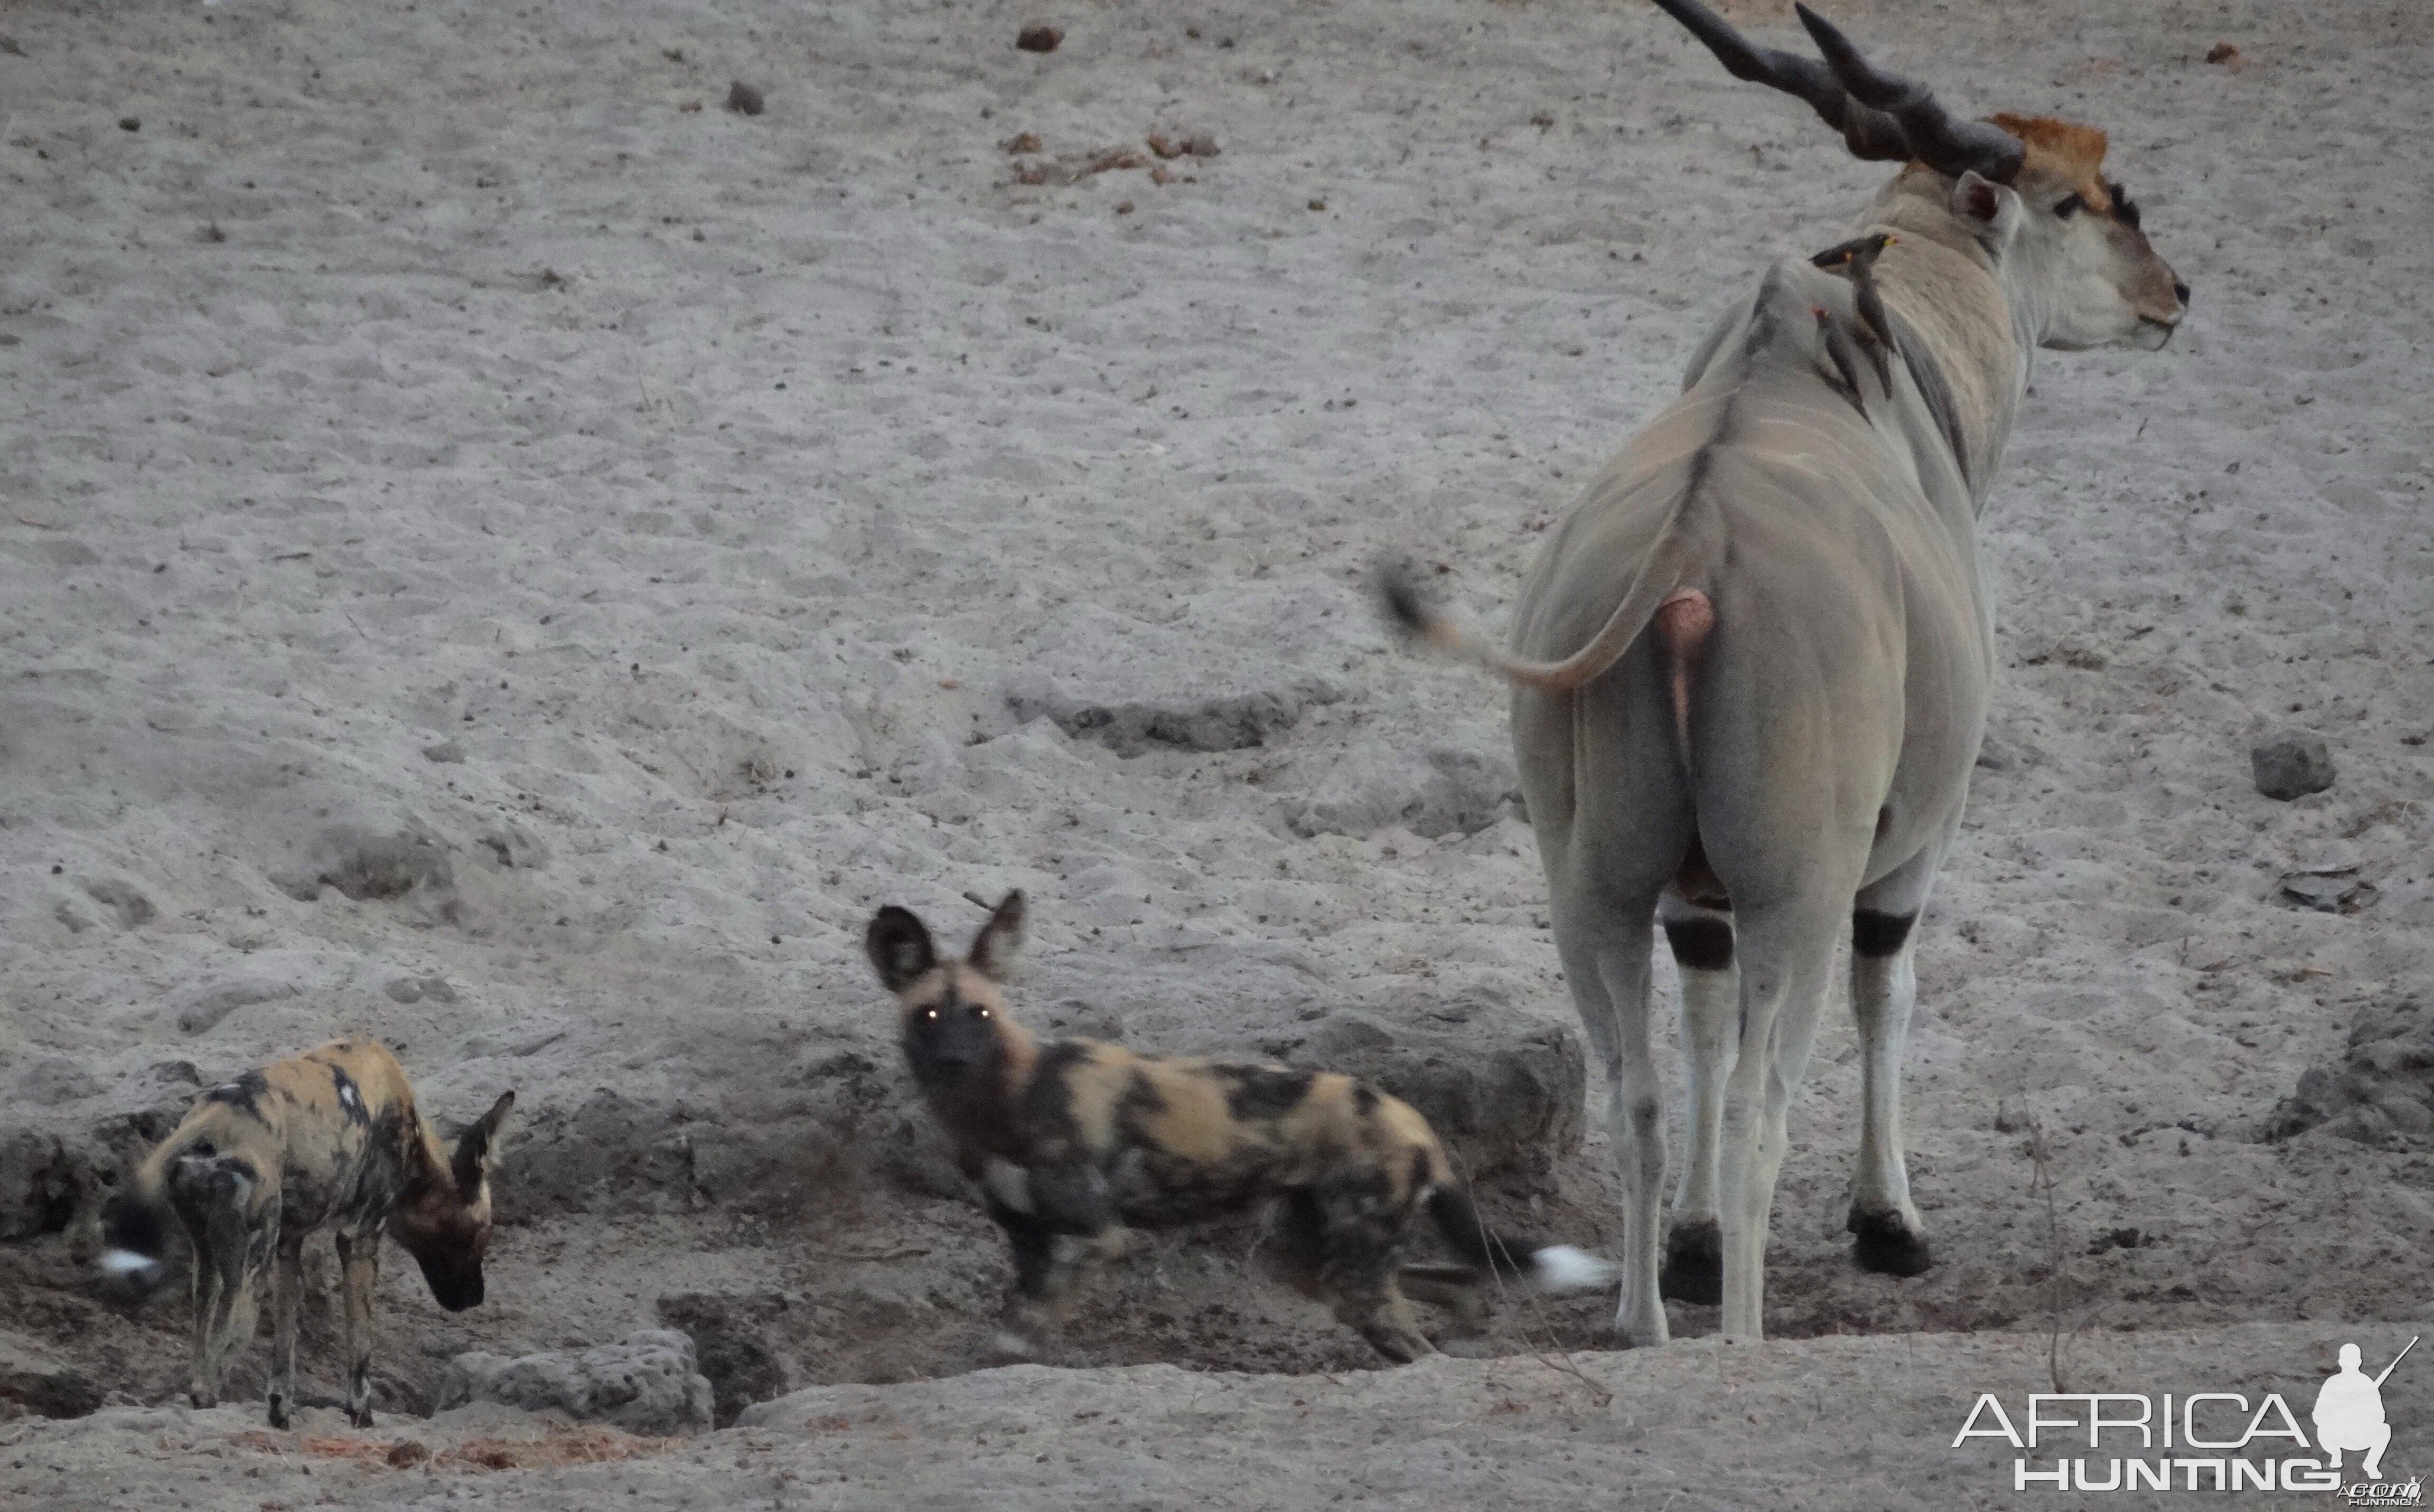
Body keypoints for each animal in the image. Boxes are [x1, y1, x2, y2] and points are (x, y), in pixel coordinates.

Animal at [99, 1037, 513, 1431]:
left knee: (202, 1342)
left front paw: (280, 1415)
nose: (476, 1297)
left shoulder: (290, 1245)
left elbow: (285, 1350)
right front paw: (362, 1417)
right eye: (482, 1234)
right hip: (252, 1273)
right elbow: (360, 1352)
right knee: (216, 1368)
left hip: (211, 1265)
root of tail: (210, 1122)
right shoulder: (359, 1240)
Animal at [862, 891, 1616, 1363]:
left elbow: (1025, 1331)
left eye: (982, 1014)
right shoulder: (1029, 1241)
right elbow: (1021, 1325)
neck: (1002, 1098)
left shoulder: (1097, 1237)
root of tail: (1409, 1114)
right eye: (930, 1015)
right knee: (1453, 1283)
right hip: (1312, 1261)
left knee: (1418, 1335)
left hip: (1348, 1273)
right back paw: (1464, 1331)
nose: (956, 1061)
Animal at [1382, 3, 2200, 1344]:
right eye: (2087, 199)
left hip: (1593, 893)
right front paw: (1889, 1223)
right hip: (1795, 892)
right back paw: (1742, 1336)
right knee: (1766, 1104)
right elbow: (1889, 989)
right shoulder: (1910, 843)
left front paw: (1694, 1245)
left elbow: (1695, 1037)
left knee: (1636, 1093)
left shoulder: (1690, 903)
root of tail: (1686, 554)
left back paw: (1645, 1325)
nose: (2171, 294)